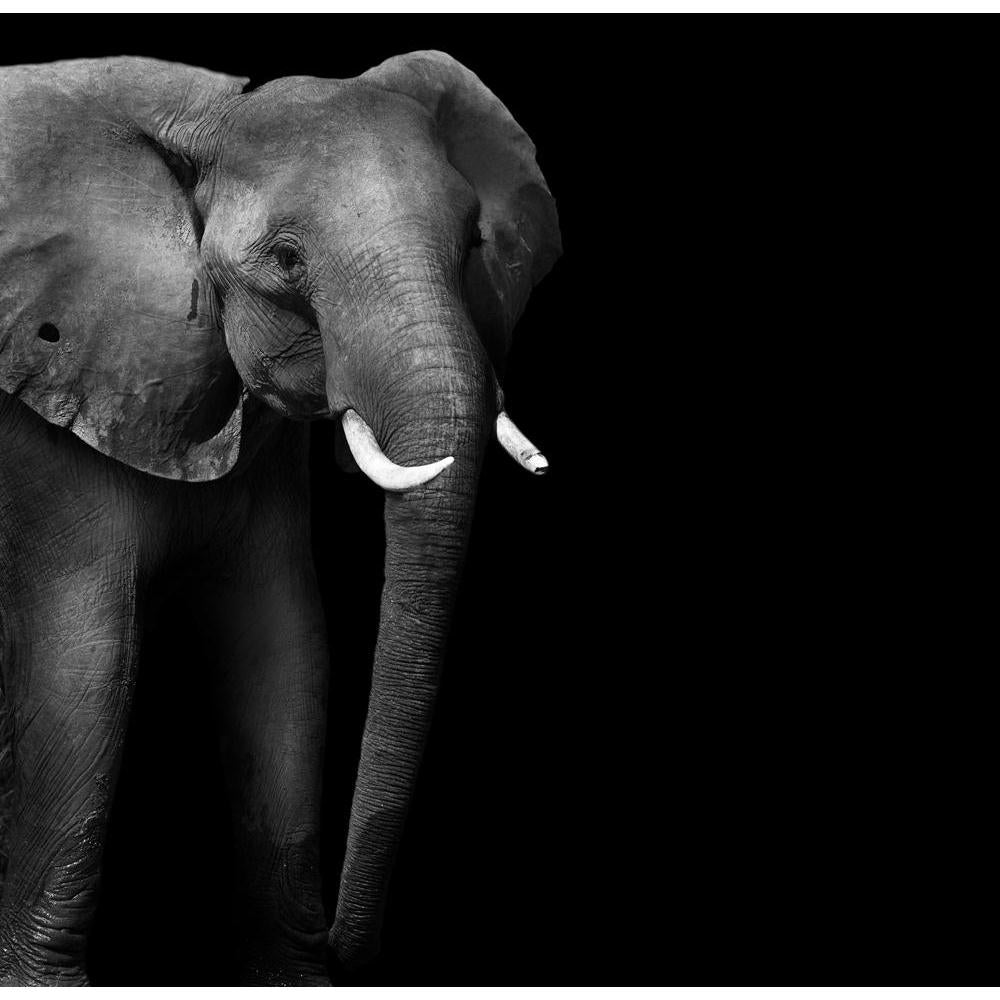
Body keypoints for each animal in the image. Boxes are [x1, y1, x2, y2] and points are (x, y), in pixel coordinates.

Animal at [0, 51, 561, 985]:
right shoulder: (39, 431)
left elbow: (286, 647)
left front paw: (296, 973)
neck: (208, 112)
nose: (350, 943)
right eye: (289, 260)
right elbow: (85, 661)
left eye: (474, 246)